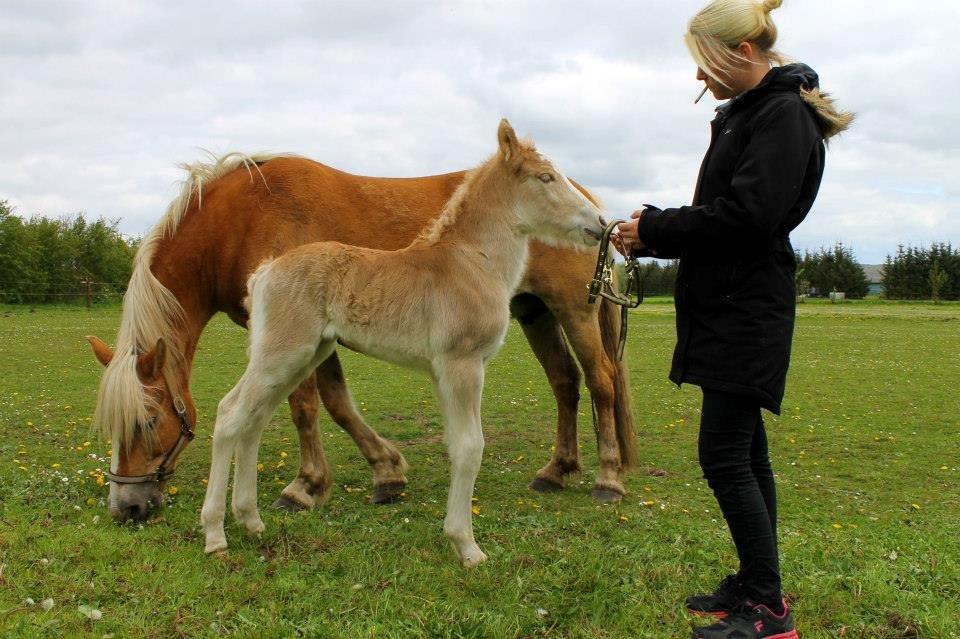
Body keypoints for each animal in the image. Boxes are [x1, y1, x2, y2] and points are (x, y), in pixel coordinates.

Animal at [86, 130, 632, 524]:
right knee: (565, 382)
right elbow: (336, 403)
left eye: (147, 421)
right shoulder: (316, 337)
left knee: (601, 381)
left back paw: (607, 479)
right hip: (536, 312)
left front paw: (305, 487)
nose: (126, 508)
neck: (243, 218)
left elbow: (309, 406)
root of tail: (594, 203)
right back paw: (556, 471)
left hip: (574, 310)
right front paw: (385, 472)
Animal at [203, 120, 608, 564]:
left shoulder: (447, 373)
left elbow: (456, 445)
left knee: (253, 419)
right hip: (281, 353)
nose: (600, 222)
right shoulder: (462, 365)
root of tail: (265, 271)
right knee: (229, 413)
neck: (471, 262)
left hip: (301, 357)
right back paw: (216, 534)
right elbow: (471, 447)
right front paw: (467, 546)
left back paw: (251, 520)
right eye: (546, 177)